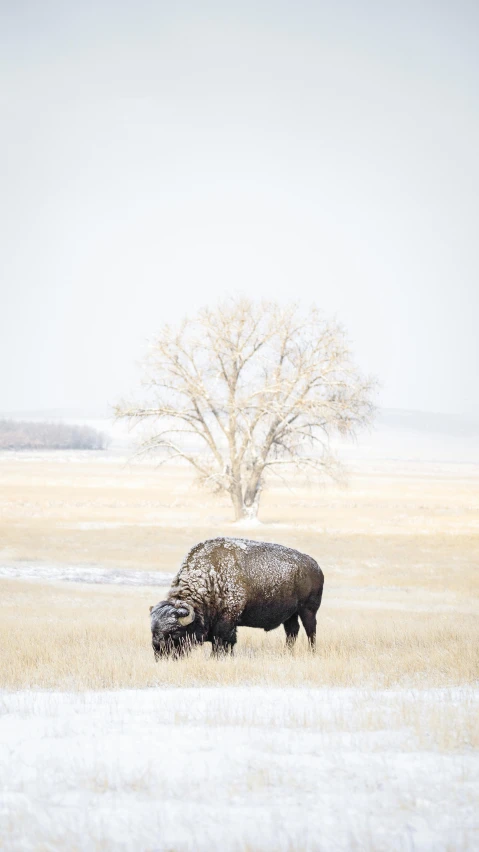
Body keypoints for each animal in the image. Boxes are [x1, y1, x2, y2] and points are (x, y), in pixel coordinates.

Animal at [148, 540, 324, 660]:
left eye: (175, 632)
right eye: (153, 630)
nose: (159, 653)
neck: (211, 578)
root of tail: (315, 566)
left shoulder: (227, 621)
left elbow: (222, 642)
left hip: (308, 610)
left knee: (310, 631)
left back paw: (312, 652)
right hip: (290, 615)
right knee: (292, 632)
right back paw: (286, 652)